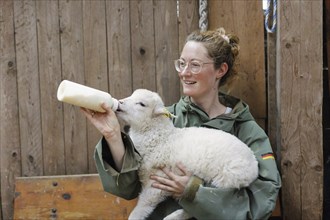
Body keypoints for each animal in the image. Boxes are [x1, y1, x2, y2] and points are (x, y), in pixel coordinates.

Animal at [114, 88, 260, 219]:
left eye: (142, 104)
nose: (120, 102)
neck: (162, 138)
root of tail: (254, 163)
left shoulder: (156, 184)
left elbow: (141, 209)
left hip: (225, 181)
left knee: (202, 206)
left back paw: (174, 216)